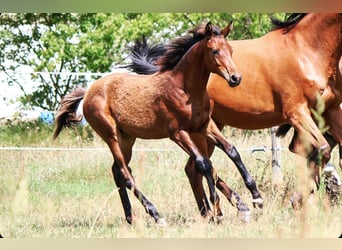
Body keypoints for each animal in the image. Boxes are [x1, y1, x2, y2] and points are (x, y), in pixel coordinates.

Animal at [53, 22, 250, 225]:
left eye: (231, 50)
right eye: (215, 51)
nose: (235, 78)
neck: (184, 88)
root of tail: (88, 92)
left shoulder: (204, 126)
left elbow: (231, 151)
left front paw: (251, 200)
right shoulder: (178, 133)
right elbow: (203, 163)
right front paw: (217, 208)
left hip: (127, 139)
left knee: (117, 171)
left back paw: (131, 217)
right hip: (111, 136)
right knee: (125, 173)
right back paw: (156, 215)